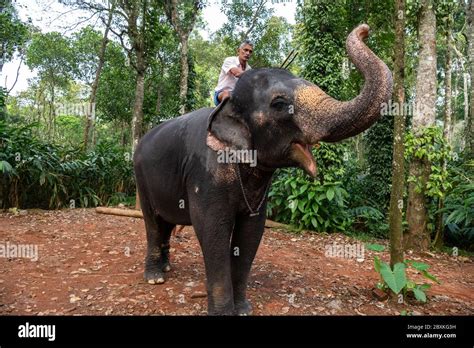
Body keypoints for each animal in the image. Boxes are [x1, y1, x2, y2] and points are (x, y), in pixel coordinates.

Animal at [133, 24, 392, 316]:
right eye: (279, 104)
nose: (365, 29)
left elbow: (251, 232)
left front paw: (243, 309)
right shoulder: (207, 173)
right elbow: (212, 230)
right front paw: (224, 313)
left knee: (165, 222)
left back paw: (166, 267)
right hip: (140, 175)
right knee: (152, 222)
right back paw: (155, 278)